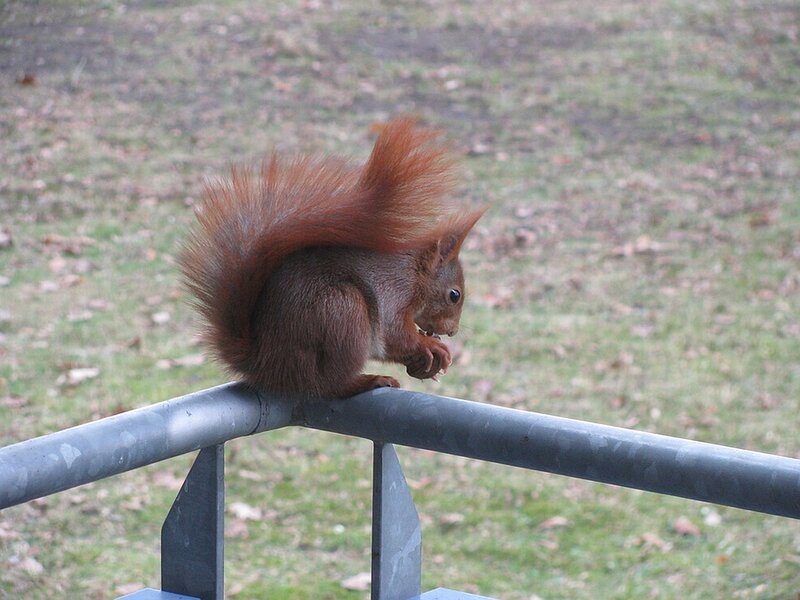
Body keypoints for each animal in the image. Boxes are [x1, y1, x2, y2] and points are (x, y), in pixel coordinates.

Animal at [179, 117, 485, 399]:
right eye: (454, 295)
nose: (452, 331)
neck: (414, 273)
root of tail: (268, 365)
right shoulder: (395, 293)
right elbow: (394, 335)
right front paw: (432, 347)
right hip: (342, 312)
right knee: (328, 385)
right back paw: (370, 381)